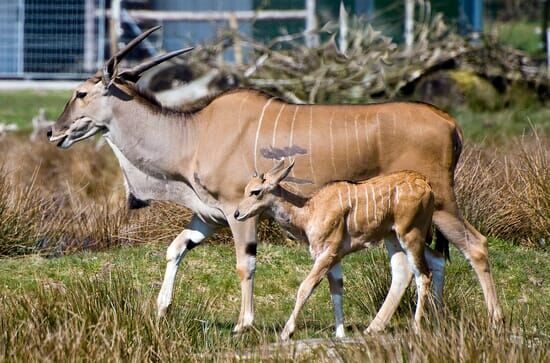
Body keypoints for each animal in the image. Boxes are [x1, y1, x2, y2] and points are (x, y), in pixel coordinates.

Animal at [233, 162, 436, 342]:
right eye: (245, 190)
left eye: (256, 191)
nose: (236, 214)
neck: (309, 211)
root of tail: (425, 183)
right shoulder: (335, 257)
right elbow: (336, 292)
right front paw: (340, 334)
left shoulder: (327, 253)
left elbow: (305, 287)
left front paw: (286, 332)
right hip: (392, 237)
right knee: (403, 272)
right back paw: (372, 328)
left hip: (411, 234)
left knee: (424, 275)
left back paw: (416, 328)